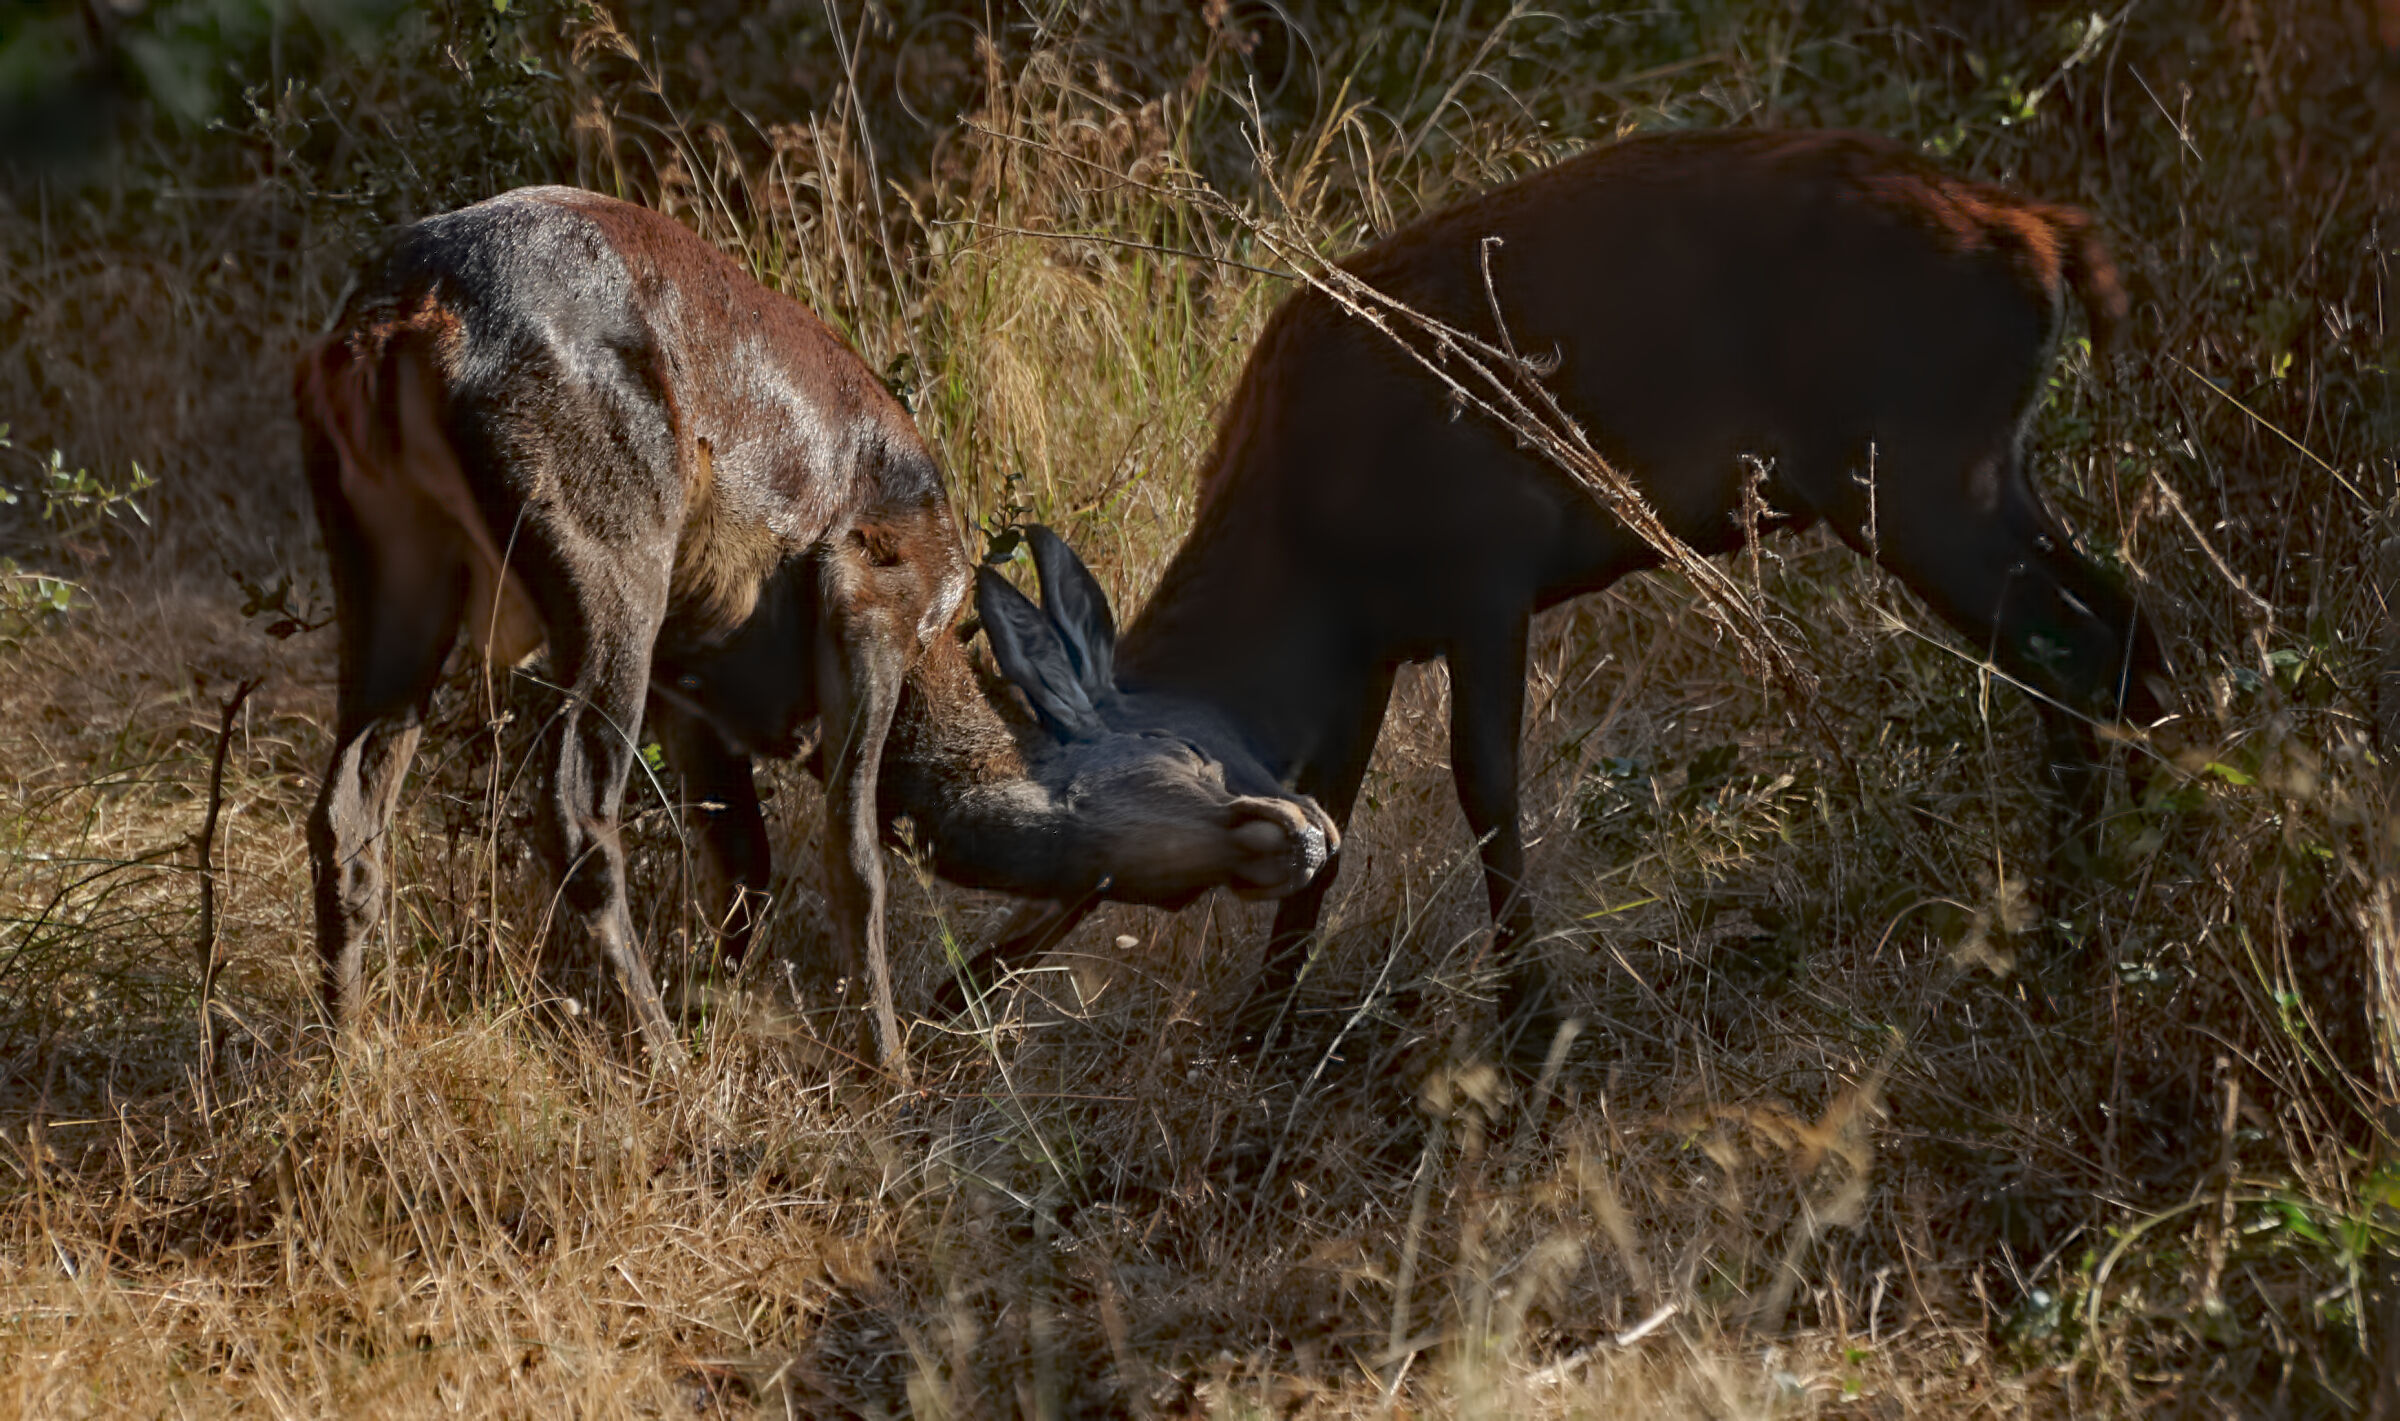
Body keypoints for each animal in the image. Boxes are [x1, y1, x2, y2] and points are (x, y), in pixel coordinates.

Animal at [293, 185, 1335, 1071]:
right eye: (1191, 748)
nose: (1312, 829)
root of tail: (400, 316)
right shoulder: (870, 594)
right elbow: (855, 854)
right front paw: (887, 1068)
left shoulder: (696, 678)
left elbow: (744, 867)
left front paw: (723, 1003)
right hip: (608, 544)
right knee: (576, 811)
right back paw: (659, 1060)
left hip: (389, 556)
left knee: (347, 806)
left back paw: (349, 1056)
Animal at [952, 130, 2166, 1062]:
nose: (970, 975)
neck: (1301, 550)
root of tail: (2042, 234)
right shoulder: (1373, 646)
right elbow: (1335, 815)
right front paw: (1259, 1032)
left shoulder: (1485, 568)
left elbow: (1485, 785)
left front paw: (1532, 1029)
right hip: (1984, 470)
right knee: (2128, 621)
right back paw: (2137, 872)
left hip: (1914, 473)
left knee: (2075, 650)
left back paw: (2068, 926)